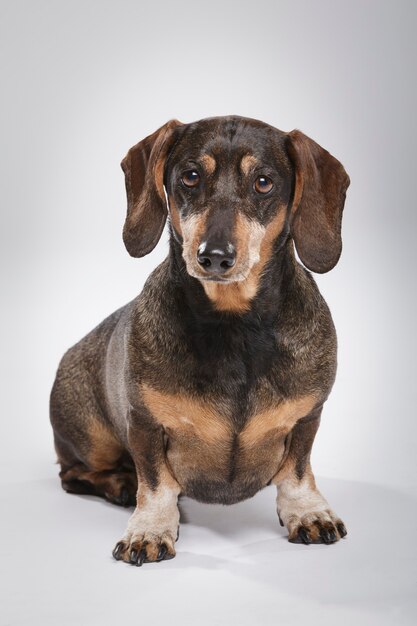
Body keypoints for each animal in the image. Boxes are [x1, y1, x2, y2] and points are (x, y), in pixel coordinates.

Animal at [48, 114, 350, 564]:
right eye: (190, 177)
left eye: (263, 182)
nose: (214, 256)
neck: (234, 326)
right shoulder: (144, 424)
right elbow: (156, 484)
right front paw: (149, 530)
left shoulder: (307, 417)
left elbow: (297, 472)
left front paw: (308, 512)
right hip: (91, 437)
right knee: (74, 474)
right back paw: (121, 484)